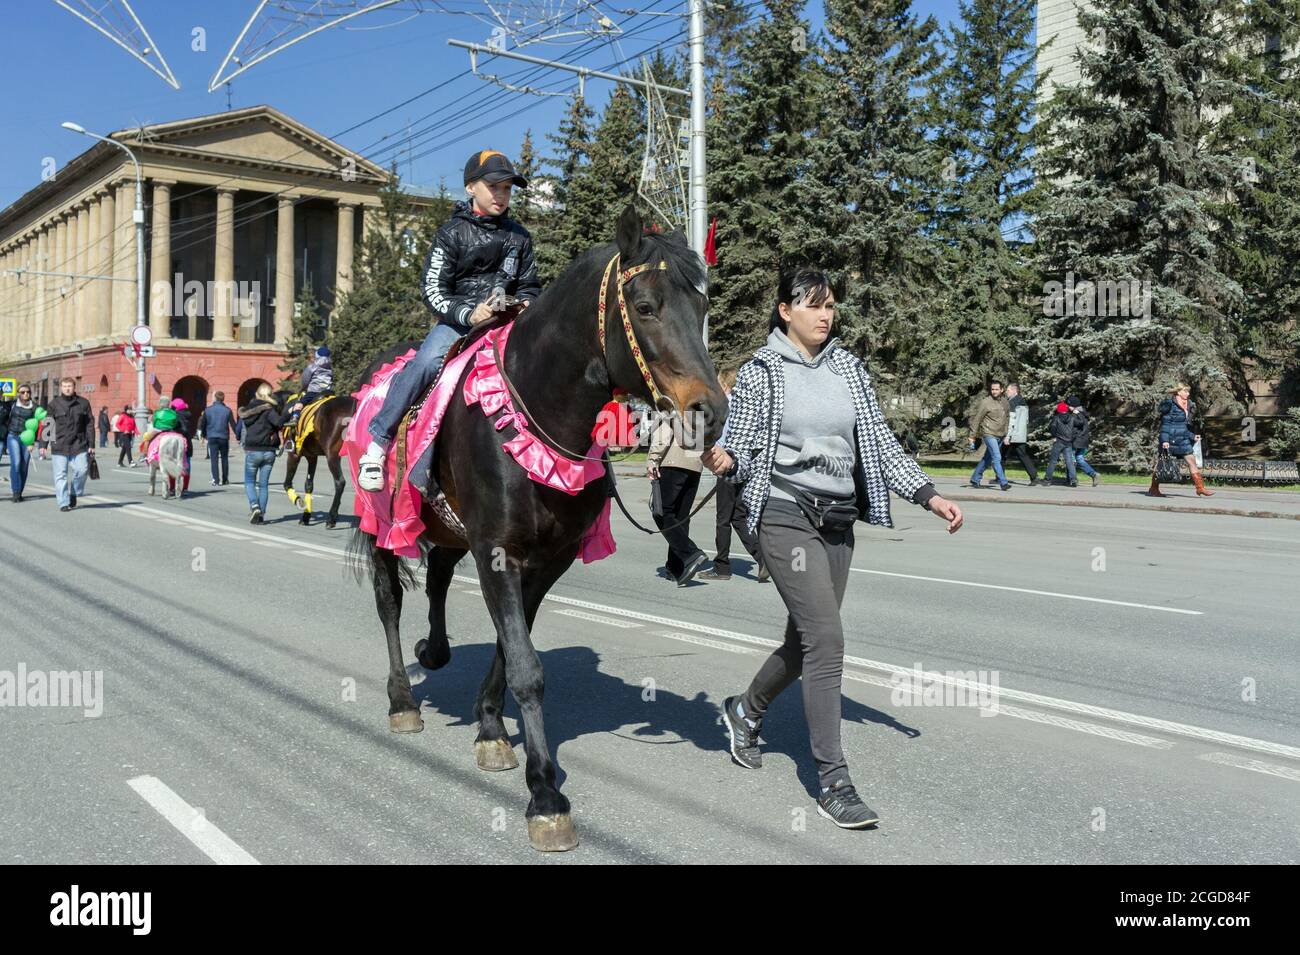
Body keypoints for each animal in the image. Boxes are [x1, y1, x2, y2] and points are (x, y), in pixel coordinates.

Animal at [280, 394, 358, 530]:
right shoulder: (312, 457)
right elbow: (309, 484)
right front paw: (306, 516)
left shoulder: (293, 455)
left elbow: (287, 483)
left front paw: (299, 502)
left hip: (332, 456)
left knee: (340, 482)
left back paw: (331, 518)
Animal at [351, 207, 728, 852]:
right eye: (646, 305)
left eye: (701, 306)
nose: (712, 411)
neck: (535, 410)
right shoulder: (498, 552)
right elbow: (527, 667)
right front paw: (546, 796)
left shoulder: (547, 560)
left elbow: (511, 646)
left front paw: (490, 730)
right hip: (381, 526)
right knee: (389, 603)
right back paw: (403, 699)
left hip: (449, 530)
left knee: (439, 577)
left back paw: (437, 651)